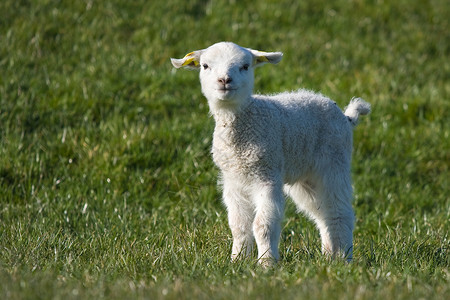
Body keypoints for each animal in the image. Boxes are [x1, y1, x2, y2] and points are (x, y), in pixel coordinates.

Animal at [171, 41, 370, 266]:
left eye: (245, 66)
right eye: (205, 66)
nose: (224, 80)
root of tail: (345, 116)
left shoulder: (266, 176)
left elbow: (263, 225)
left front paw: (266, 263)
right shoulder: (233, 182)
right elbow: (238, 226)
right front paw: (236, 261)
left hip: (334, 163)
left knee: (340, 212)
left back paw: (344, 259)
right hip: (306, 178)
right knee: (322, 214)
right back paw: (329, 256)